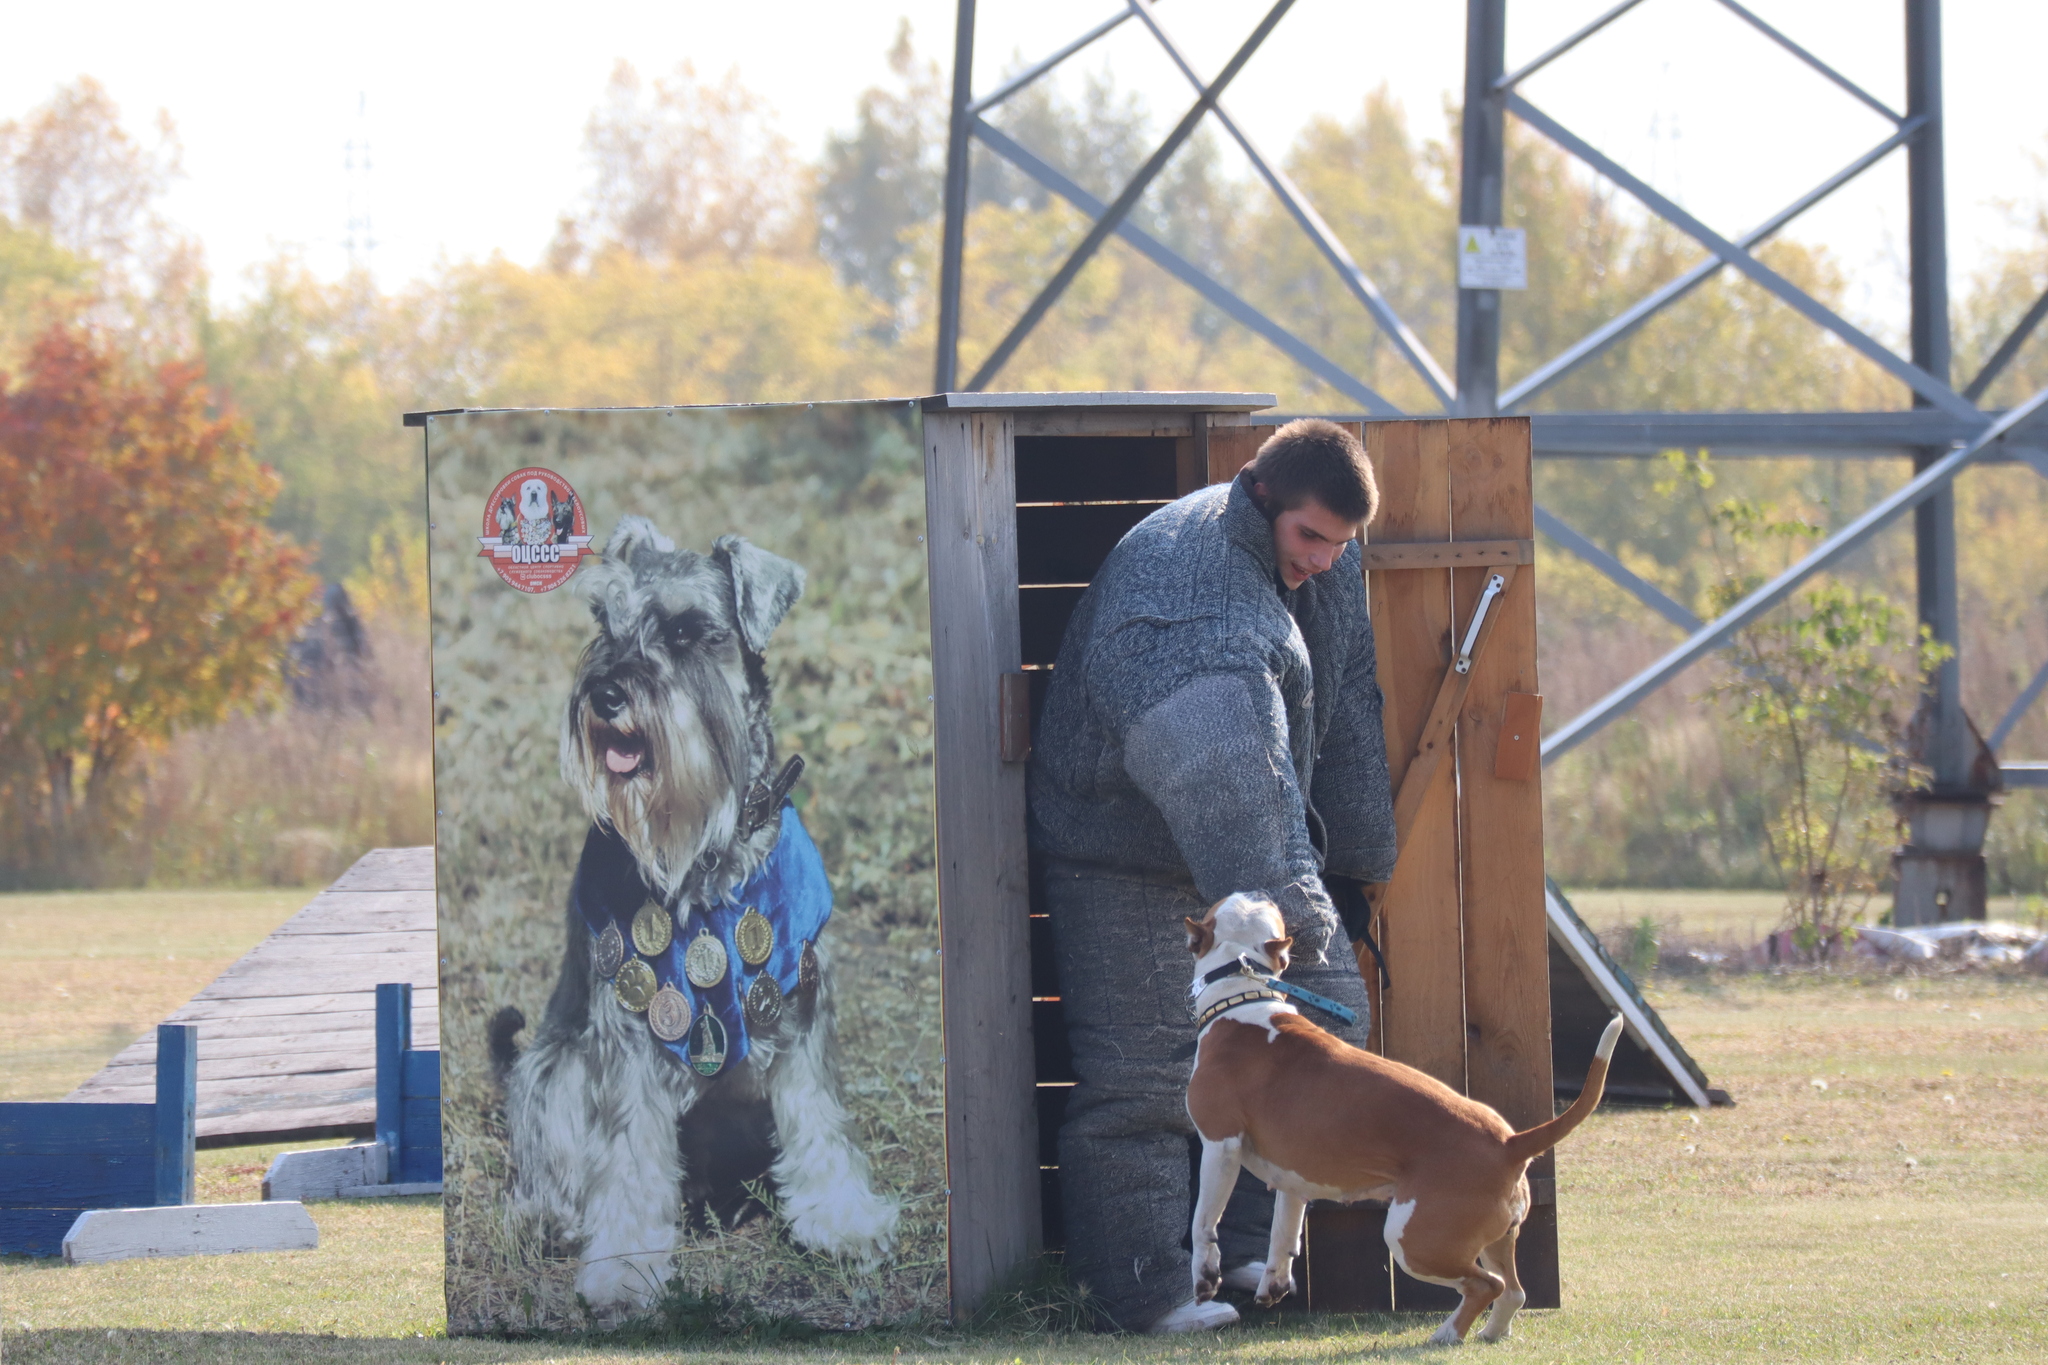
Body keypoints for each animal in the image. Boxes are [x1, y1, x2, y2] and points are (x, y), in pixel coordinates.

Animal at [1187, 892, 1613, 1350]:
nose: (1260, 892)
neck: (1242, 994)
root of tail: (1509, 1144)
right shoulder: (1294, 1176)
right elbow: (1283, 1232)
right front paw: (1274, 1283)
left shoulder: (1220, 1146)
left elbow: (1204, 1221)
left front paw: (1205, 1277)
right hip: (1494, 1238)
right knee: (1513, 1291)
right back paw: (1489, 1333)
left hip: (1414, 1241)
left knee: (1488, 1285)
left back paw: (1446, 1334)